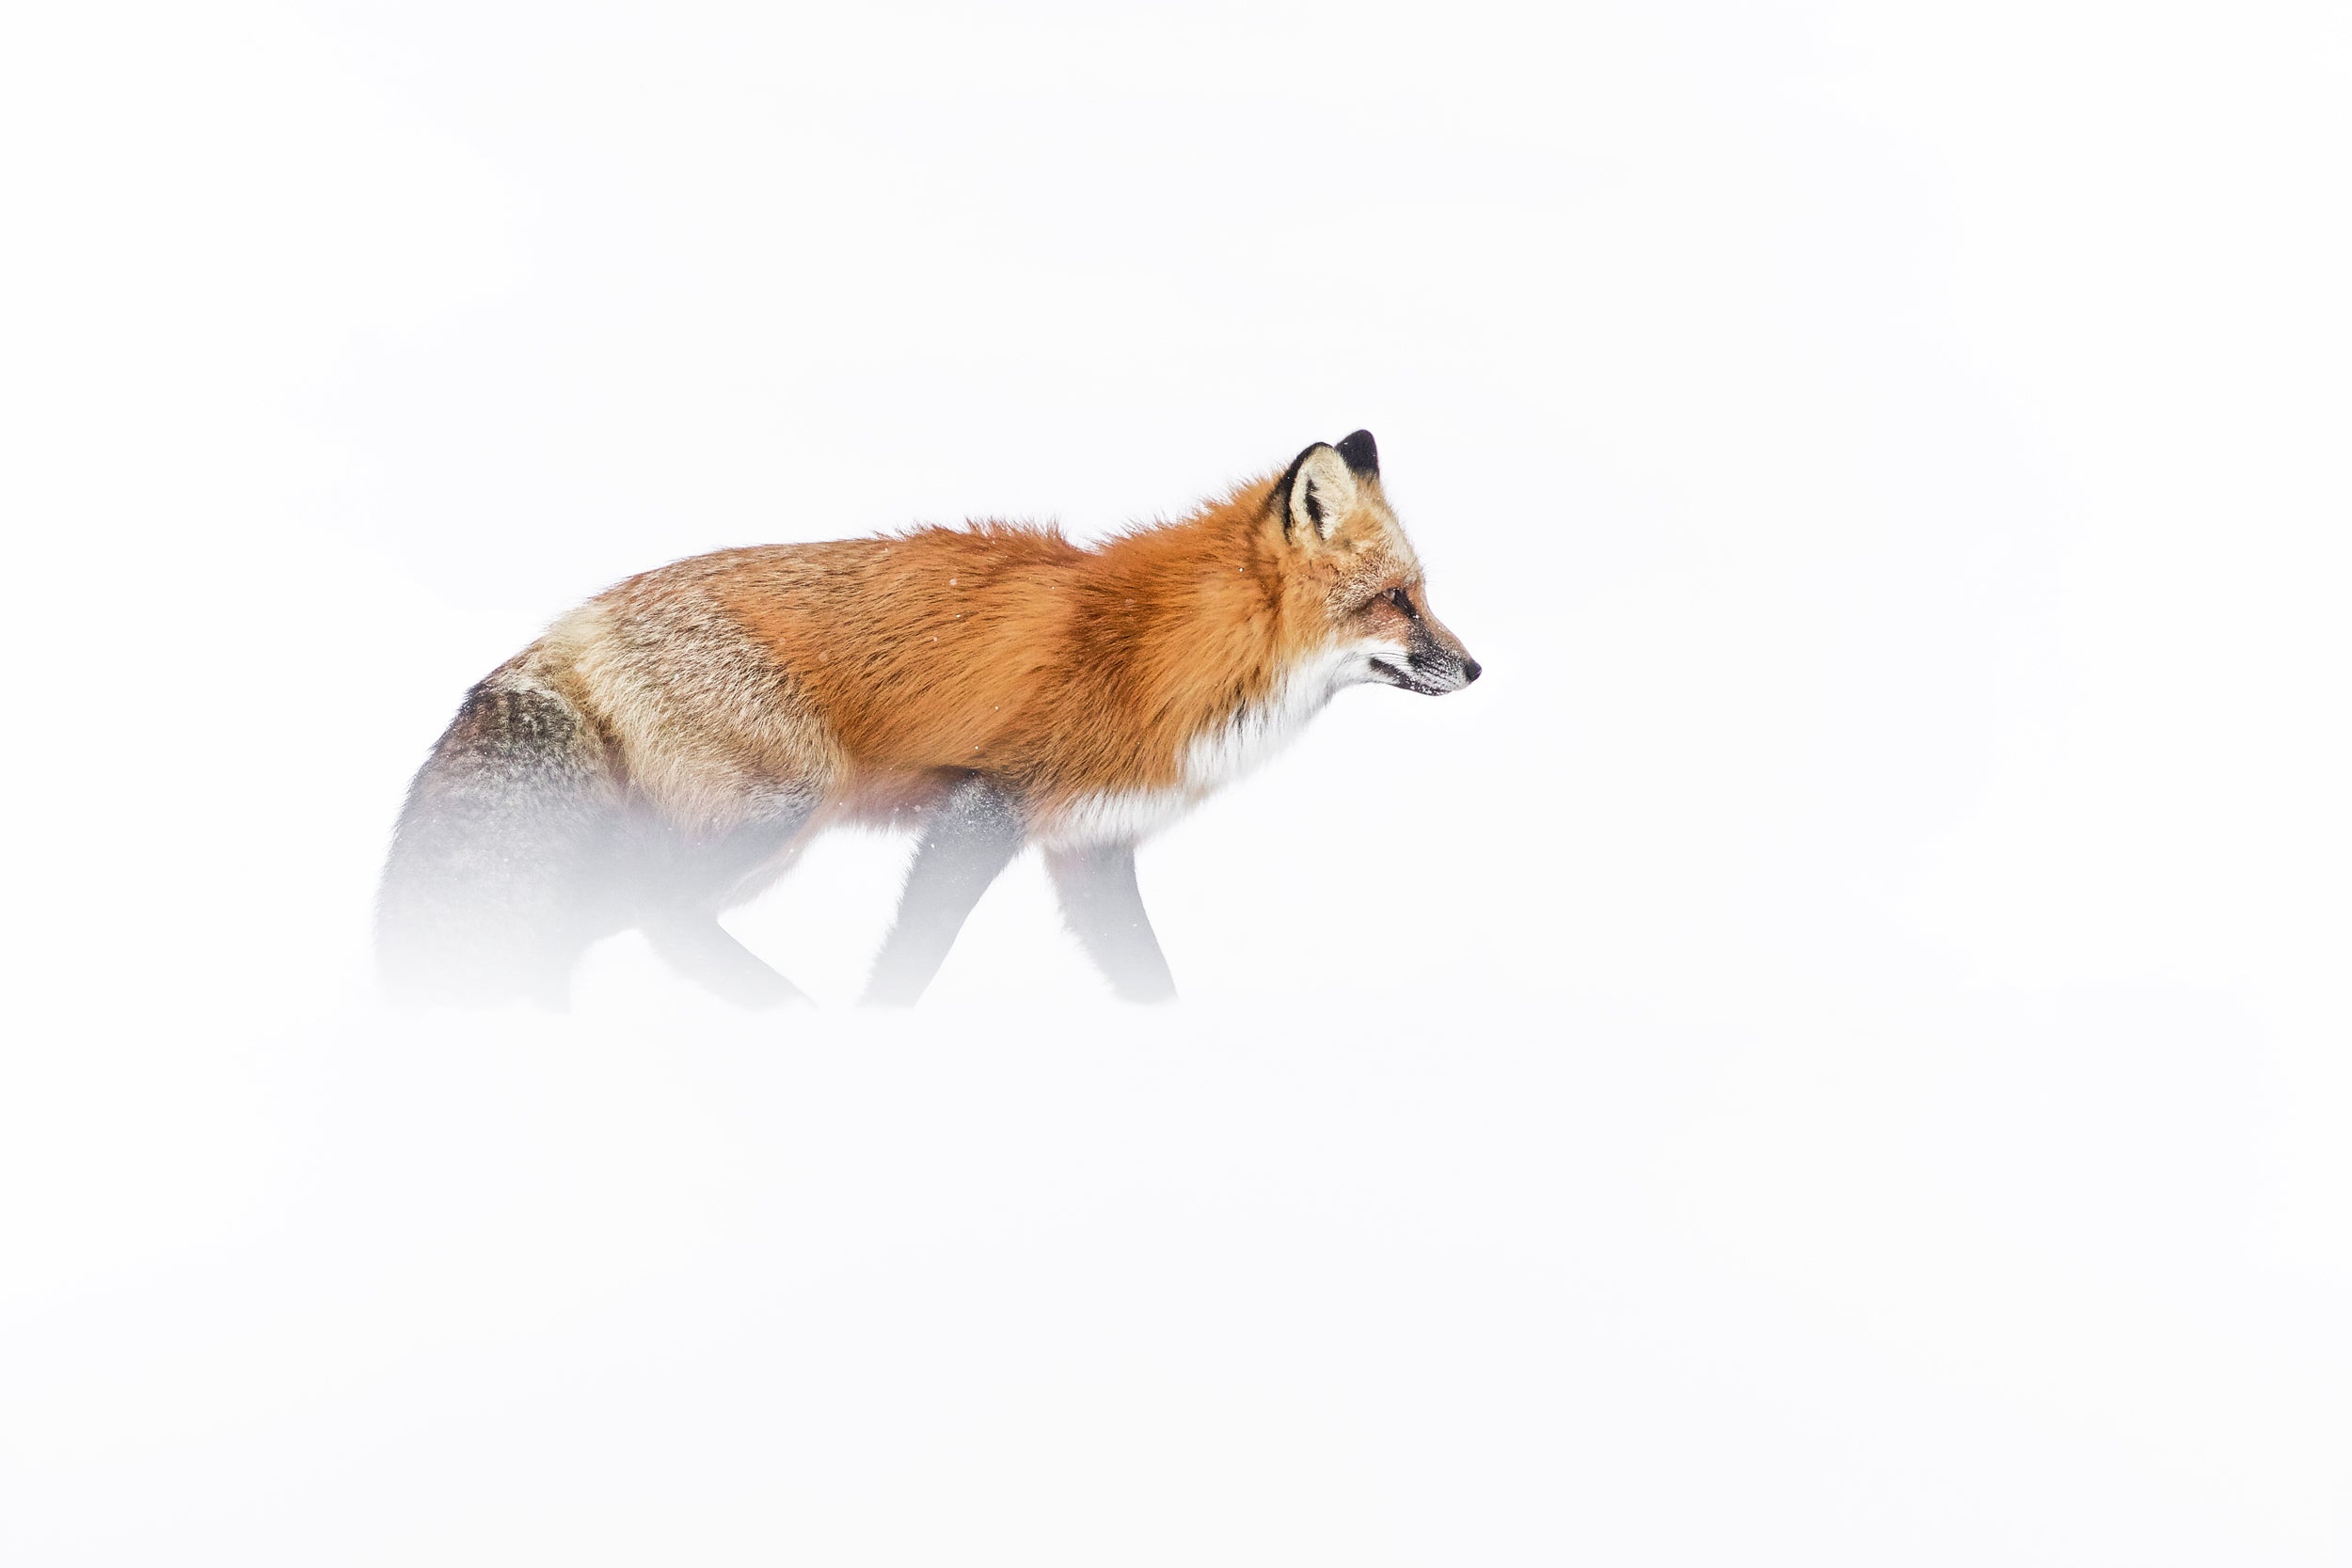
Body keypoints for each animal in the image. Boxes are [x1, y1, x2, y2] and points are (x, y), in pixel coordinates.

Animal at [377, 430, 1480, 1008]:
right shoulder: (985, 805)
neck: (1167, 646)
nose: (1474, 668)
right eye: (1396, 600)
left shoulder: (1089, 847)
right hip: (776, 811)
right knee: (645, 915)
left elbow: (1148, 980)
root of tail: (572, 621)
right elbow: (912, 958)